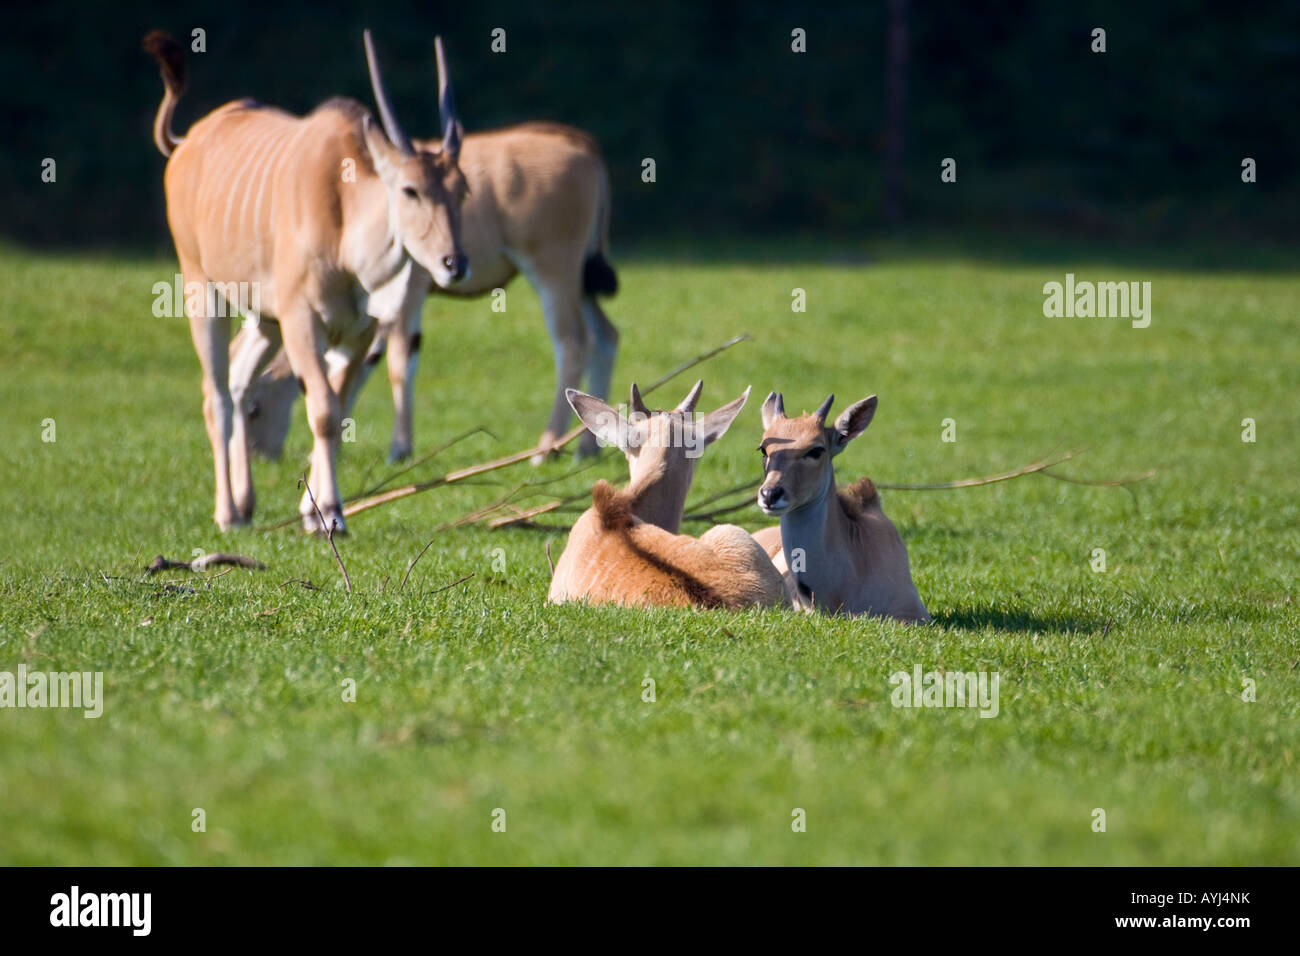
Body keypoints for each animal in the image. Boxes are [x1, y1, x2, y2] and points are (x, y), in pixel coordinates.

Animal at [146, 29, 467, 535]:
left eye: (463, 190)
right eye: (411, 190)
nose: (455, 263)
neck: (343, 213)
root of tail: (188, 141)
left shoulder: (357, 333)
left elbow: (337, 406)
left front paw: (314, 512)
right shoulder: (302, 323)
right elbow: (323, 410)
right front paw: (330, 513)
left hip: (265, 321)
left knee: (239, 379)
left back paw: (246, 502)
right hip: (205, 291)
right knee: (216, 394)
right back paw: (227, 512)